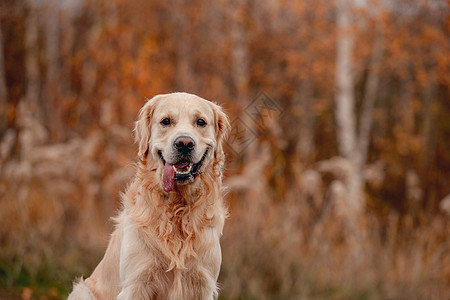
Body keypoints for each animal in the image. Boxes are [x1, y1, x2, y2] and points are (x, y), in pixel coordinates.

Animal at [68, 92, 230, 298]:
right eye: (166, 121)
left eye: (200, 122)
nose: (184, 143)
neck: (177, 207)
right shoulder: (136, 283)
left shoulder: (203, 284)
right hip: (82, 291)